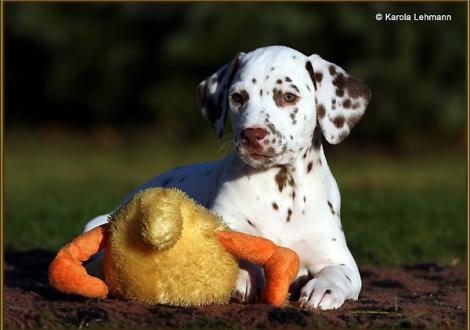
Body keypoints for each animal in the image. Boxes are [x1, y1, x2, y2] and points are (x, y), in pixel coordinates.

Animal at [85, 45, 370, 310]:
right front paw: (243, 275)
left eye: (289, 96)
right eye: (237, 97)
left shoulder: (338, 258)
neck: (280, 188)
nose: (252, 134)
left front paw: (323, 289)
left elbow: (340, 273)